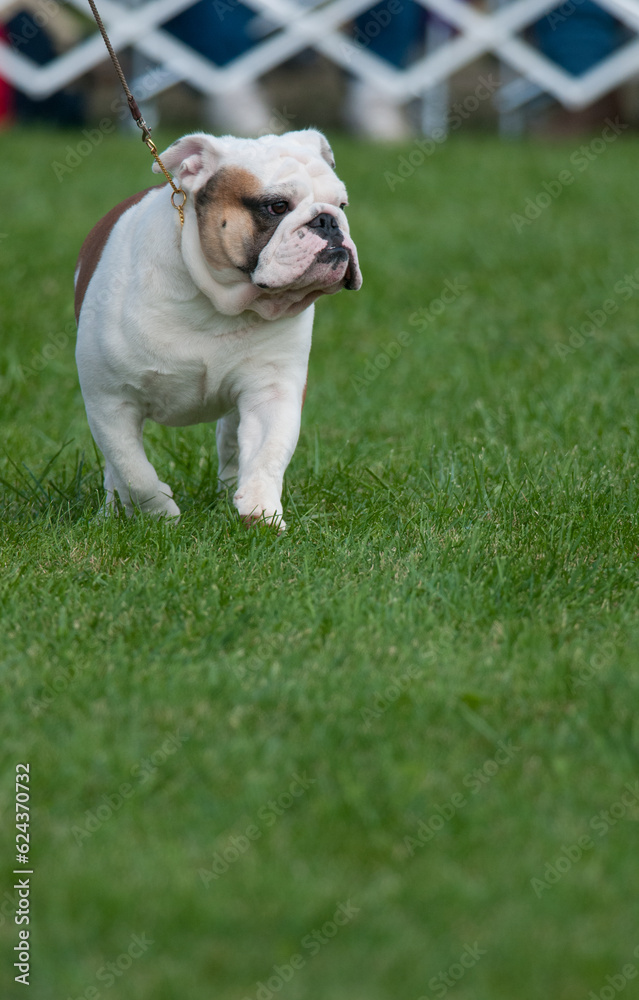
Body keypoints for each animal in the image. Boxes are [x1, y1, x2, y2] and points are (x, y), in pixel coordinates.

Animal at [73, 129, 362, 528]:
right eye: (277, 207)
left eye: (342, 205)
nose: (328, 221)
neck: (218, 302)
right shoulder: (110, 401)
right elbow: (132, 468)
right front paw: (159, 512)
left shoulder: (272, 391)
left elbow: (269, 451)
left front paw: (261, 510)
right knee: (118, 470)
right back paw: (113, 511)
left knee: (232, 445)